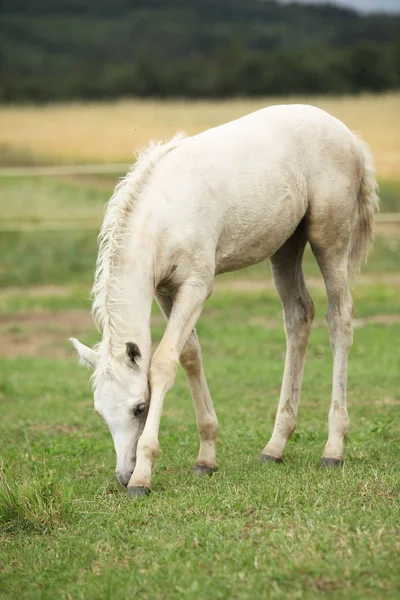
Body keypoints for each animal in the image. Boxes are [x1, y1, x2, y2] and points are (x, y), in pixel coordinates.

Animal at [69, 104, 378, 496]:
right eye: (99, 412)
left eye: (139, 407)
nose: (123, 474)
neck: (163, 216)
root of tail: (347, 134)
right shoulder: (166, 289)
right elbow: (189, 355)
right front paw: (206, 458)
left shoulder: (197, 285)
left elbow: (164, 362)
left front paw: (143, 476)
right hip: (286, 245)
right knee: (299, 316)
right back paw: (275, 446)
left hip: (329, 237)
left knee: (339, 319)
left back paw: (333, 448)